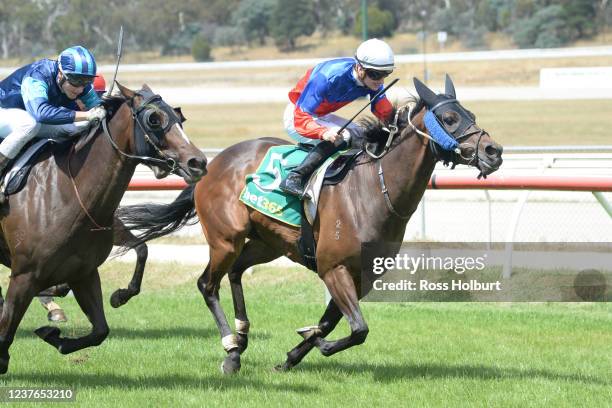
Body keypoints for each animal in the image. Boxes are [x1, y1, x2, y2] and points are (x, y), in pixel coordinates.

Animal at [0, 82, 207, 372]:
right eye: (154, 119)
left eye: (180, 117)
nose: (198, 162)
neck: (67, 192)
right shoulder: (24, 275)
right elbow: (6, 330)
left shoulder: (83, 272)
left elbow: (100, 330)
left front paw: (55, 335)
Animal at [118, 75, 502, 372]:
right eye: (449, 118)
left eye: (470, 114)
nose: (494, 151)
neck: (373, 190)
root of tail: (211, 162)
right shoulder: (334, 267)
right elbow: (358, 328)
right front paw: (317, 344)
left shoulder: (362, 275)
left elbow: (332, 322)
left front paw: (294, 354)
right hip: (226, 238)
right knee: (207, 284)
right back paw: (231, 350)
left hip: (266, 242)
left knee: (237, 272)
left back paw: (242, 333)